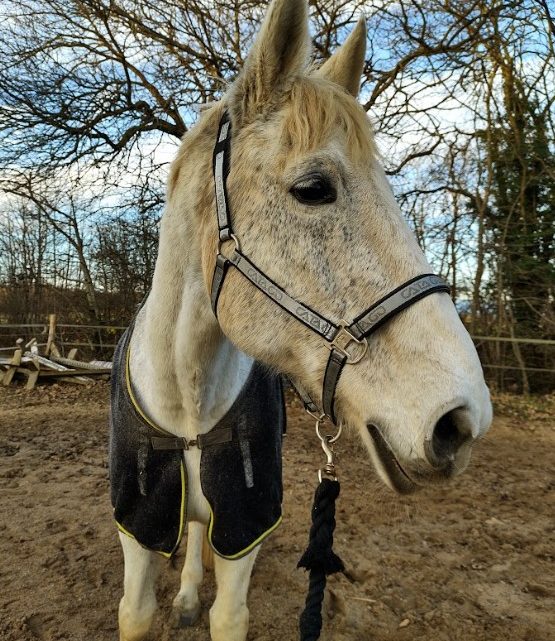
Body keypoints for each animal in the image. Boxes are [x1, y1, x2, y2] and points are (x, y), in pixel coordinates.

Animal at [111, 1, 494, 640]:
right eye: (313, 189)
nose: (461, 421)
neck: (188, 402)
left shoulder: (244, 530)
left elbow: (227, 611)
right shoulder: (138, 532)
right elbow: (138, 608)